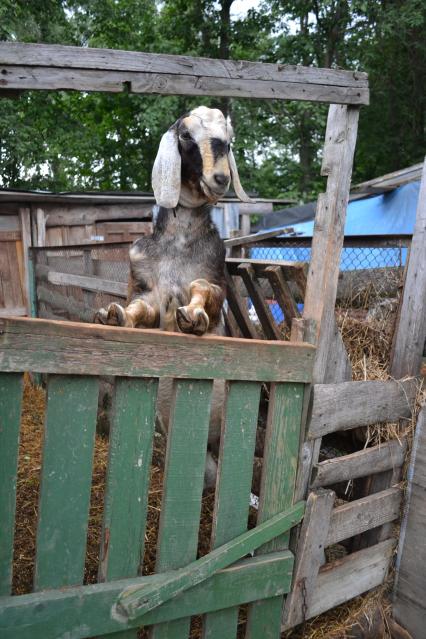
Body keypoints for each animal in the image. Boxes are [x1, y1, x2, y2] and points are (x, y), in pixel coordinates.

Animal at [94, 106, 251, 484]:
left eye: (229, 139)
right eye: (186, 136)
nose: (220, 178)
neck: (179, 243)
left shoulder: (216, 284)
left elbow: (199, 291)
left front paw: (191, 317)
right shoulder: (146, 288)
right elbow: (139, 309)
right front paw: (113, 315)